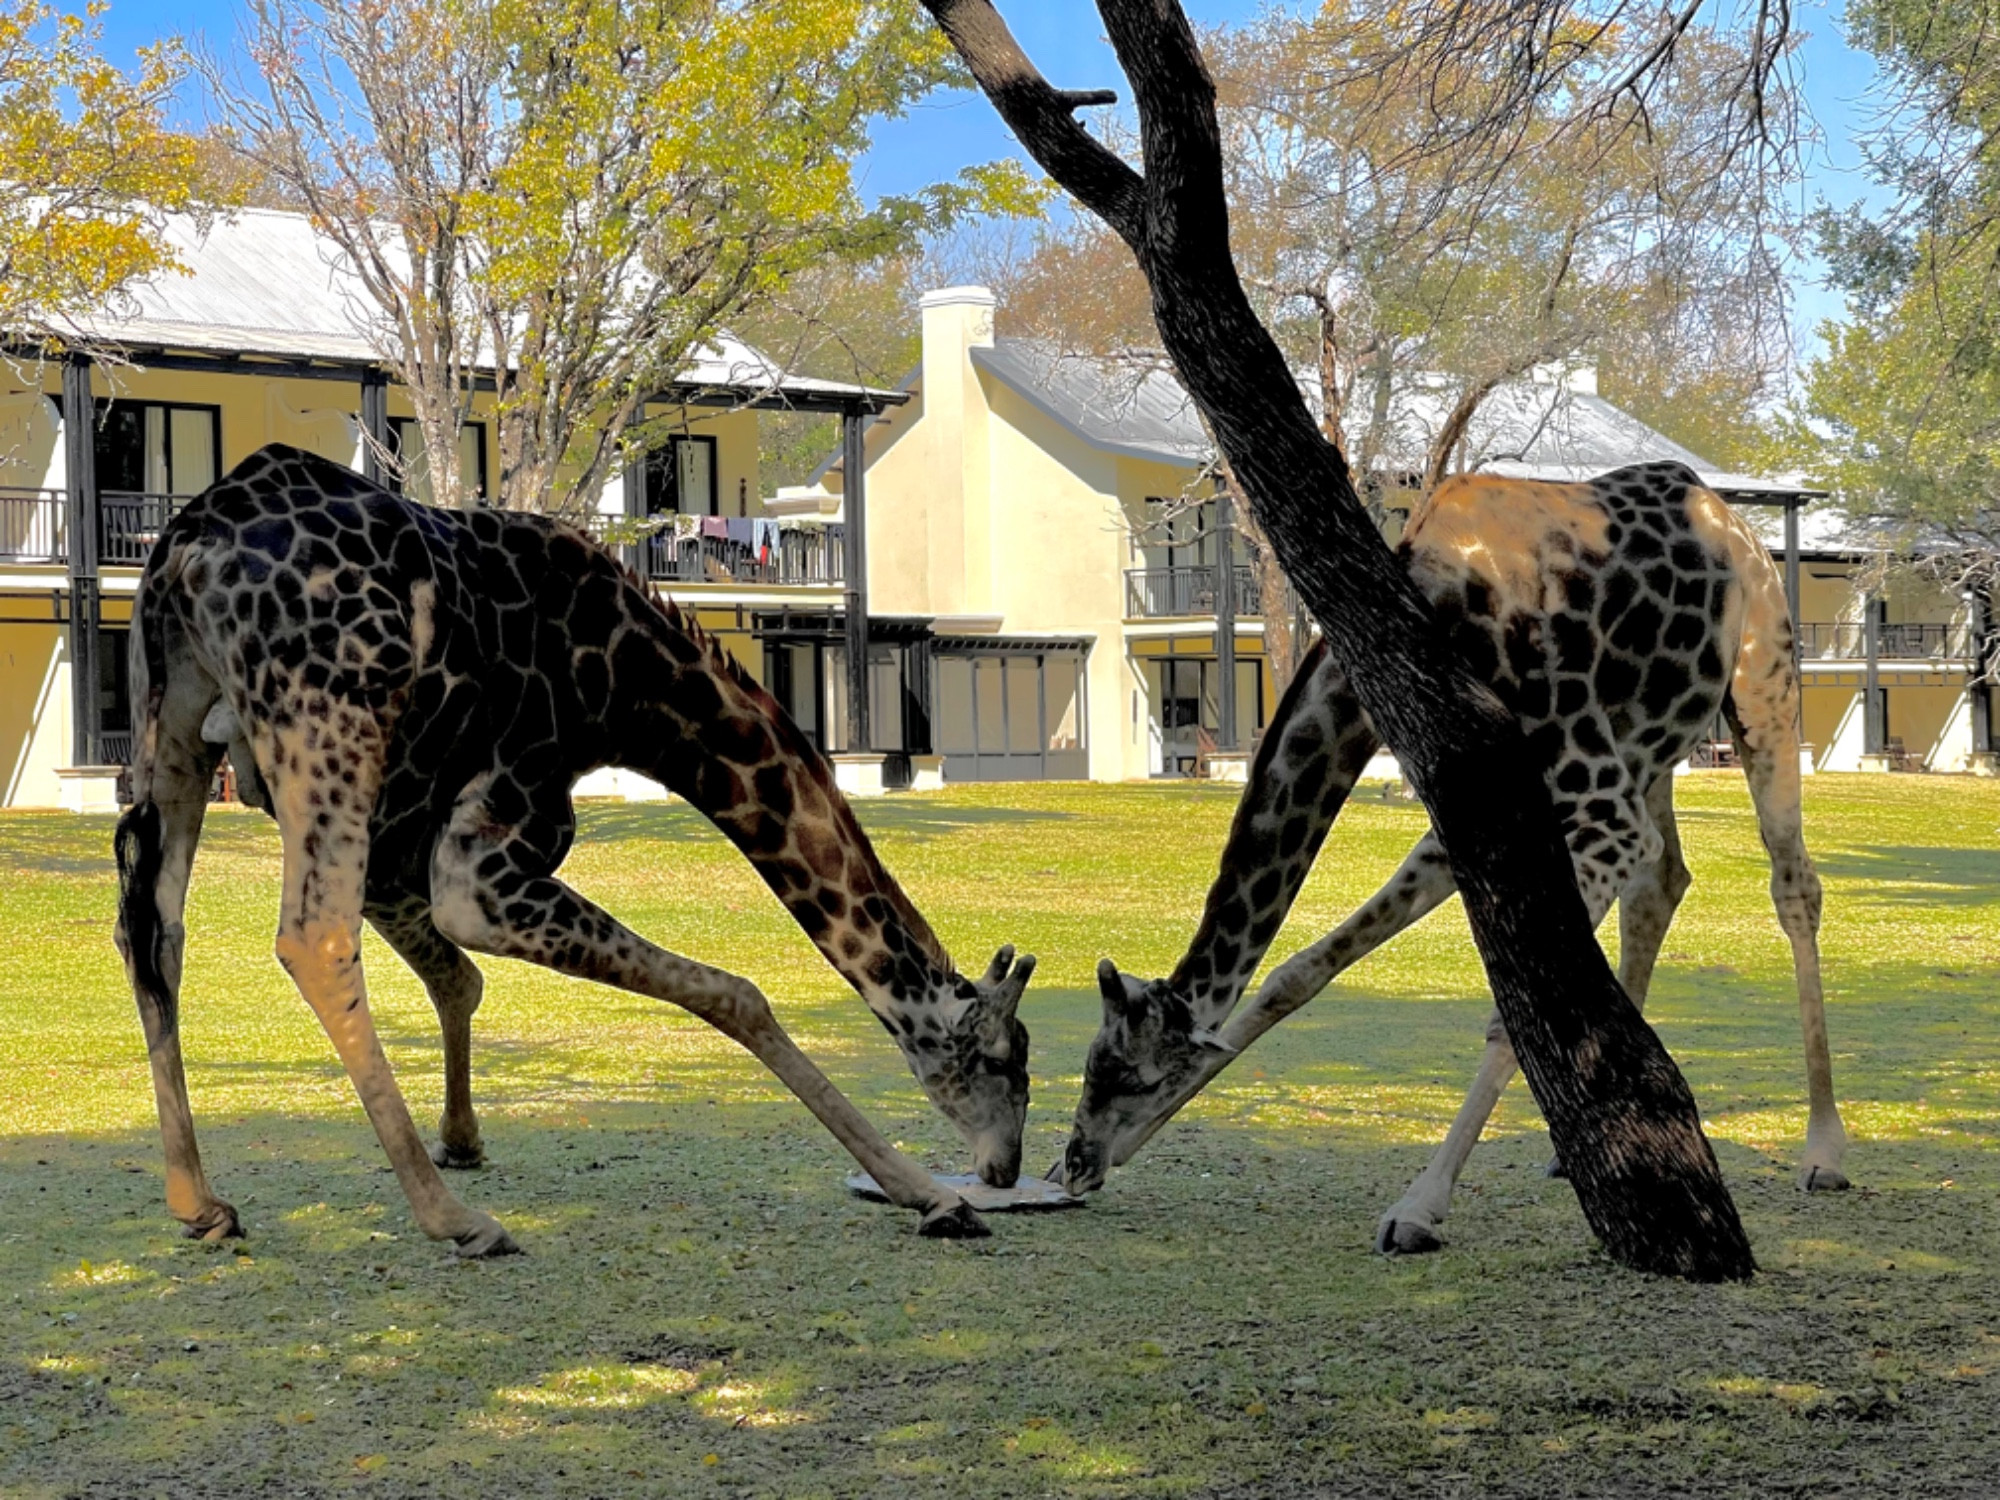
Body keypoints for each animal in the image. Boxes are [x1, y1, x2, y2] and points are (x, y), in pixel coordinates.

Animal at [111, 444, 1040, 1256]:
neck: (628, 695)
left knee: (151, 931)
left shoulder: (403, 842)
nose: (1004, 1168)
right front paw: (928, 1193)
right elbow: (736, 994)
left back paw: (200, 1203)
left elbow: (460, 979)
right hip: (332, 716)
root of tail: (190, 546)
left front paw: (464, 1138)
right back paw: (456, 1221)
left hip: (176, 720)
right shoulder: (478, 868)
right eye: (1004, 1061)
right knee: (314, 936)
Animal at [1064, 462, 1840, 1256]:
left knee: (1792, 884)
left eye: (1130, 1074)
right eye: (1091, 1063)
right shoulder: (1465, 815)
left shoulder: (1596, 804)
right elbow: (1301, 969)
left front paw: (1419, 1205)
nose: (1077, 1160)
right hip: (1653, 743)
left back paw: (1824, 1150)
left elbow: (1512, 1010)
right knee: (1663, 882)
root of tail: (1728, 515)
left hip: (1763, 676)